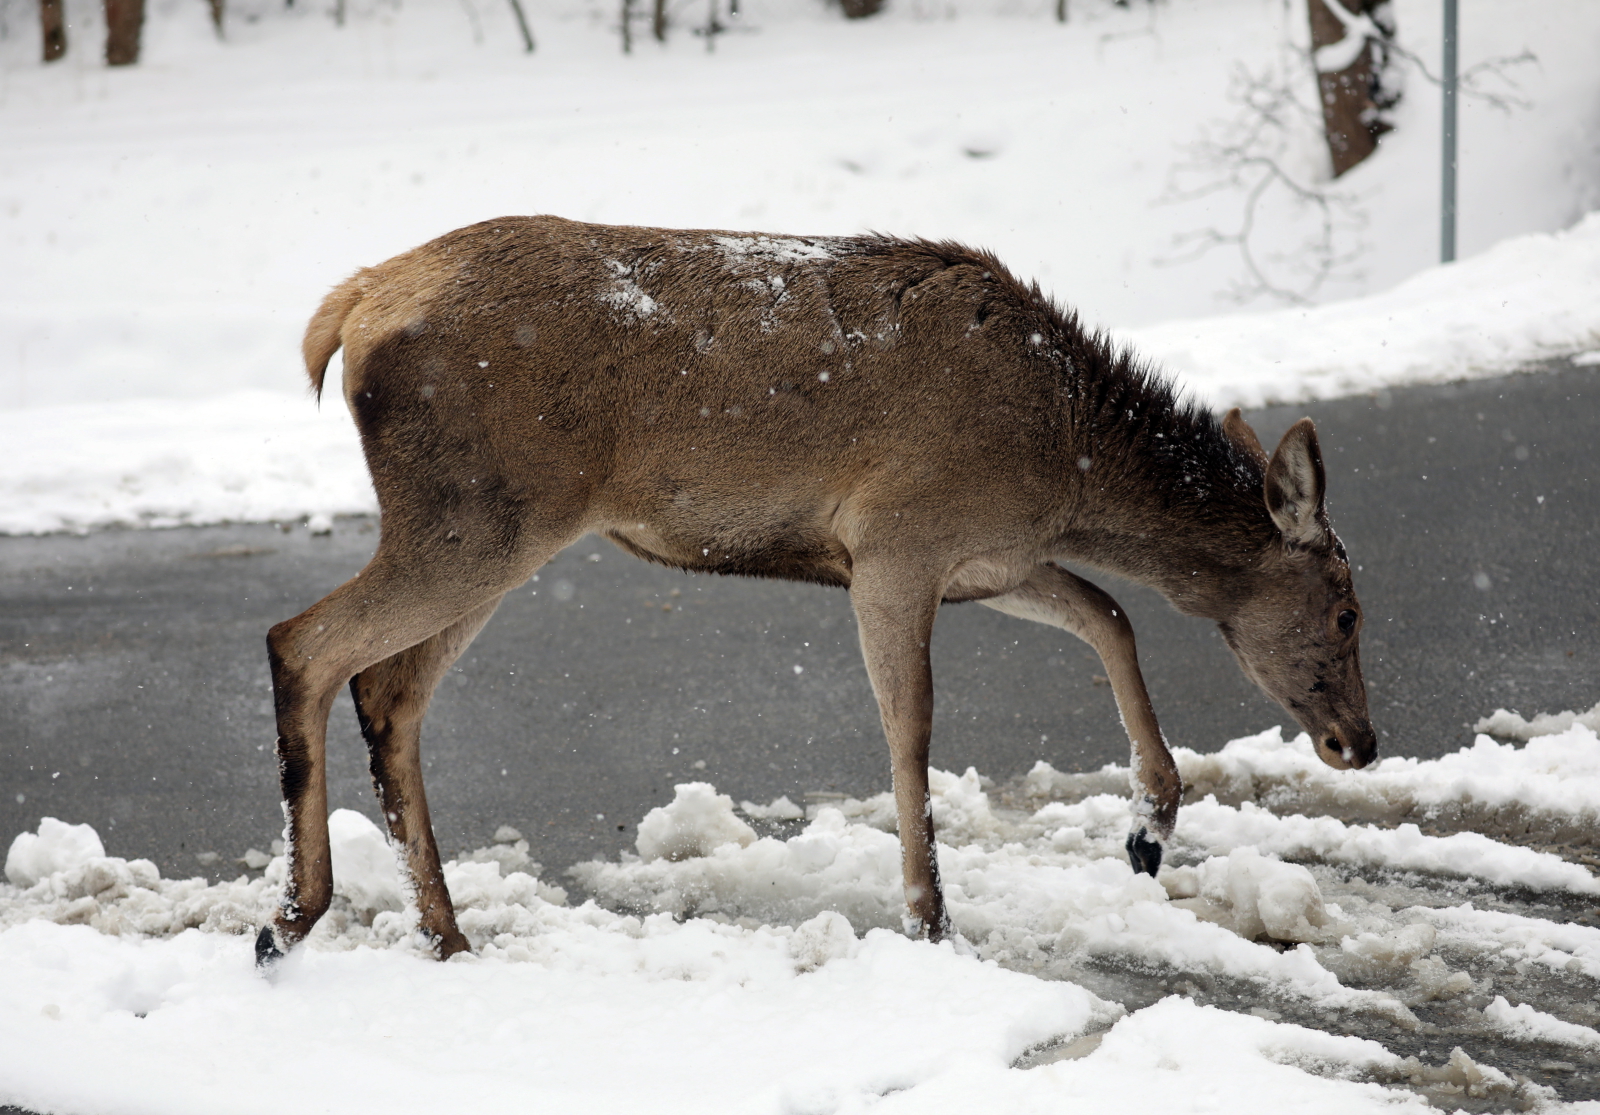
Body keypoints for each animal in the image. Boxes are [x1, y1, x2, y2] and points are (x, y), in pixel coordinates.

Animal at [252, 215, 1376, 966]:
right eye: (1346, 608)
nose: (1358, 741)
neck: (1066, 457)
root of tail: (350, 310)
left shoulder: (991, 560)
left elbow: (1111, 613)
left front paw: (1148, 826)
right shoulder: (897, 544)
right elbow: (912, 726)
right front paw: (930, 919)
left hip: (487, 527)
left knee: (389, 692)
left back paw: (443, 932)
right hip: (479, 517)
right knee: (303, 641)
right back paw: (289, 918)